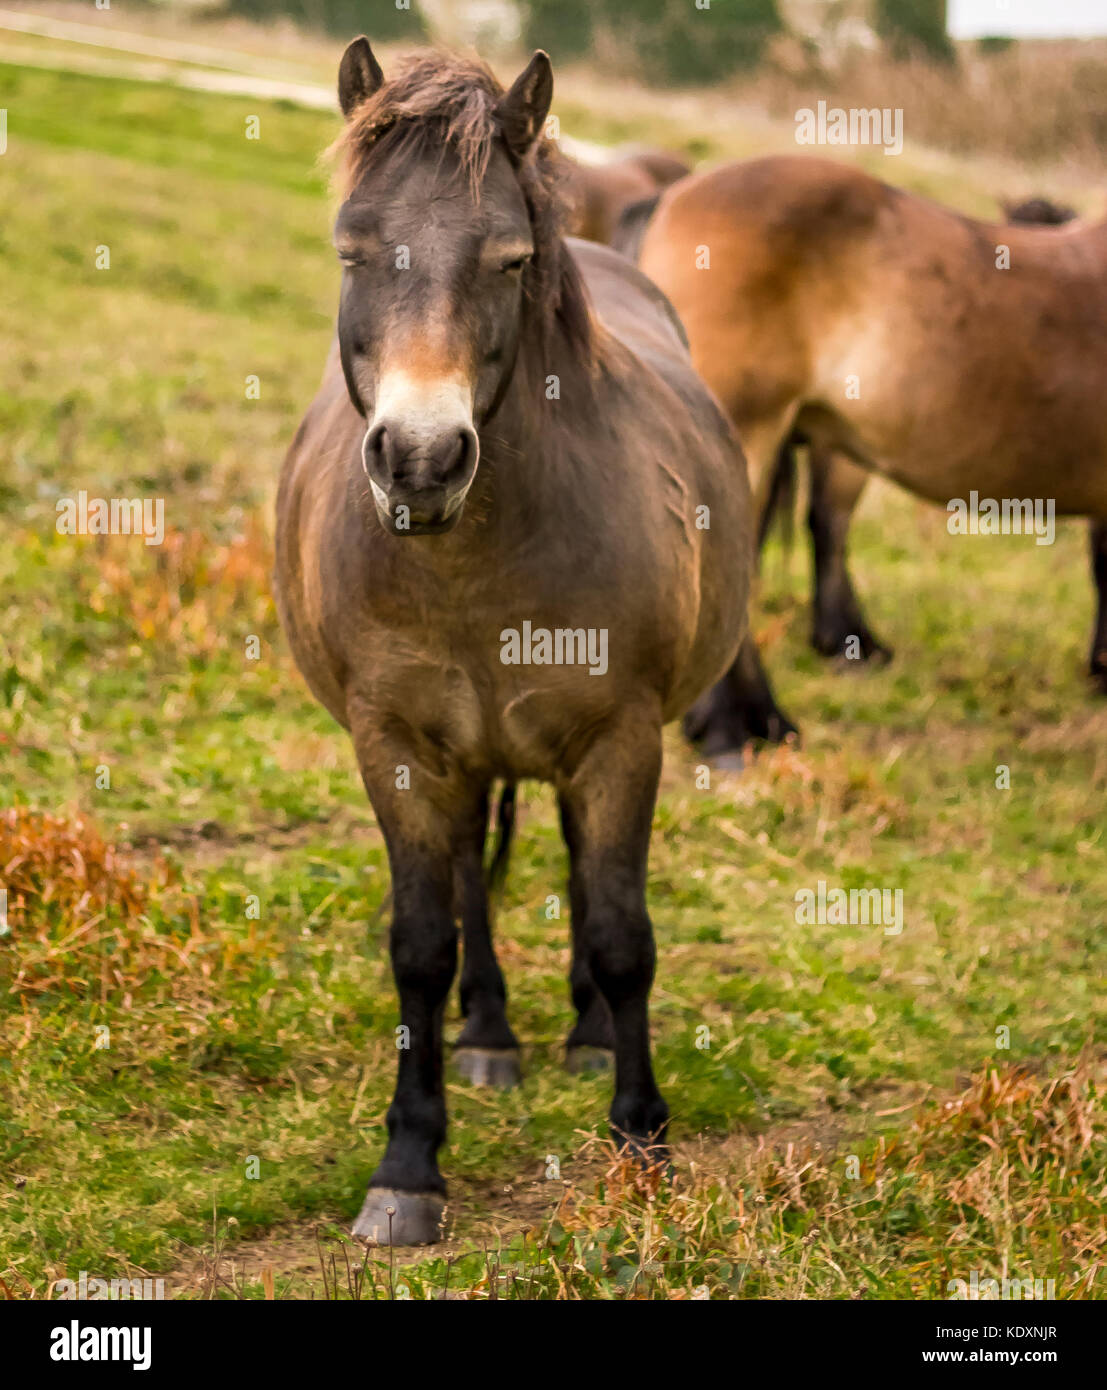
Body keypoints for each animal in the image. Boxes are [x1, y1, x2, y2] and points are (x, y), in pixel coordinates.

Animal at [272, 38, 767, 1245]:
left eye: (505, 260)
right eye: (351, 247)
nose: (419, 459)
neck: (473, 560)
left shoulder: (622, 740)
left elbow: (622, 934)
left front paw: (641, 1139)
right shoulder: (396, 745)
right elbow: (420, 943)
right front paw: (408, 1168)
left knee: (579, 882)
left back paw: (581, 1037)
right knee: (468, 883)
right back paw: (489, 1034)